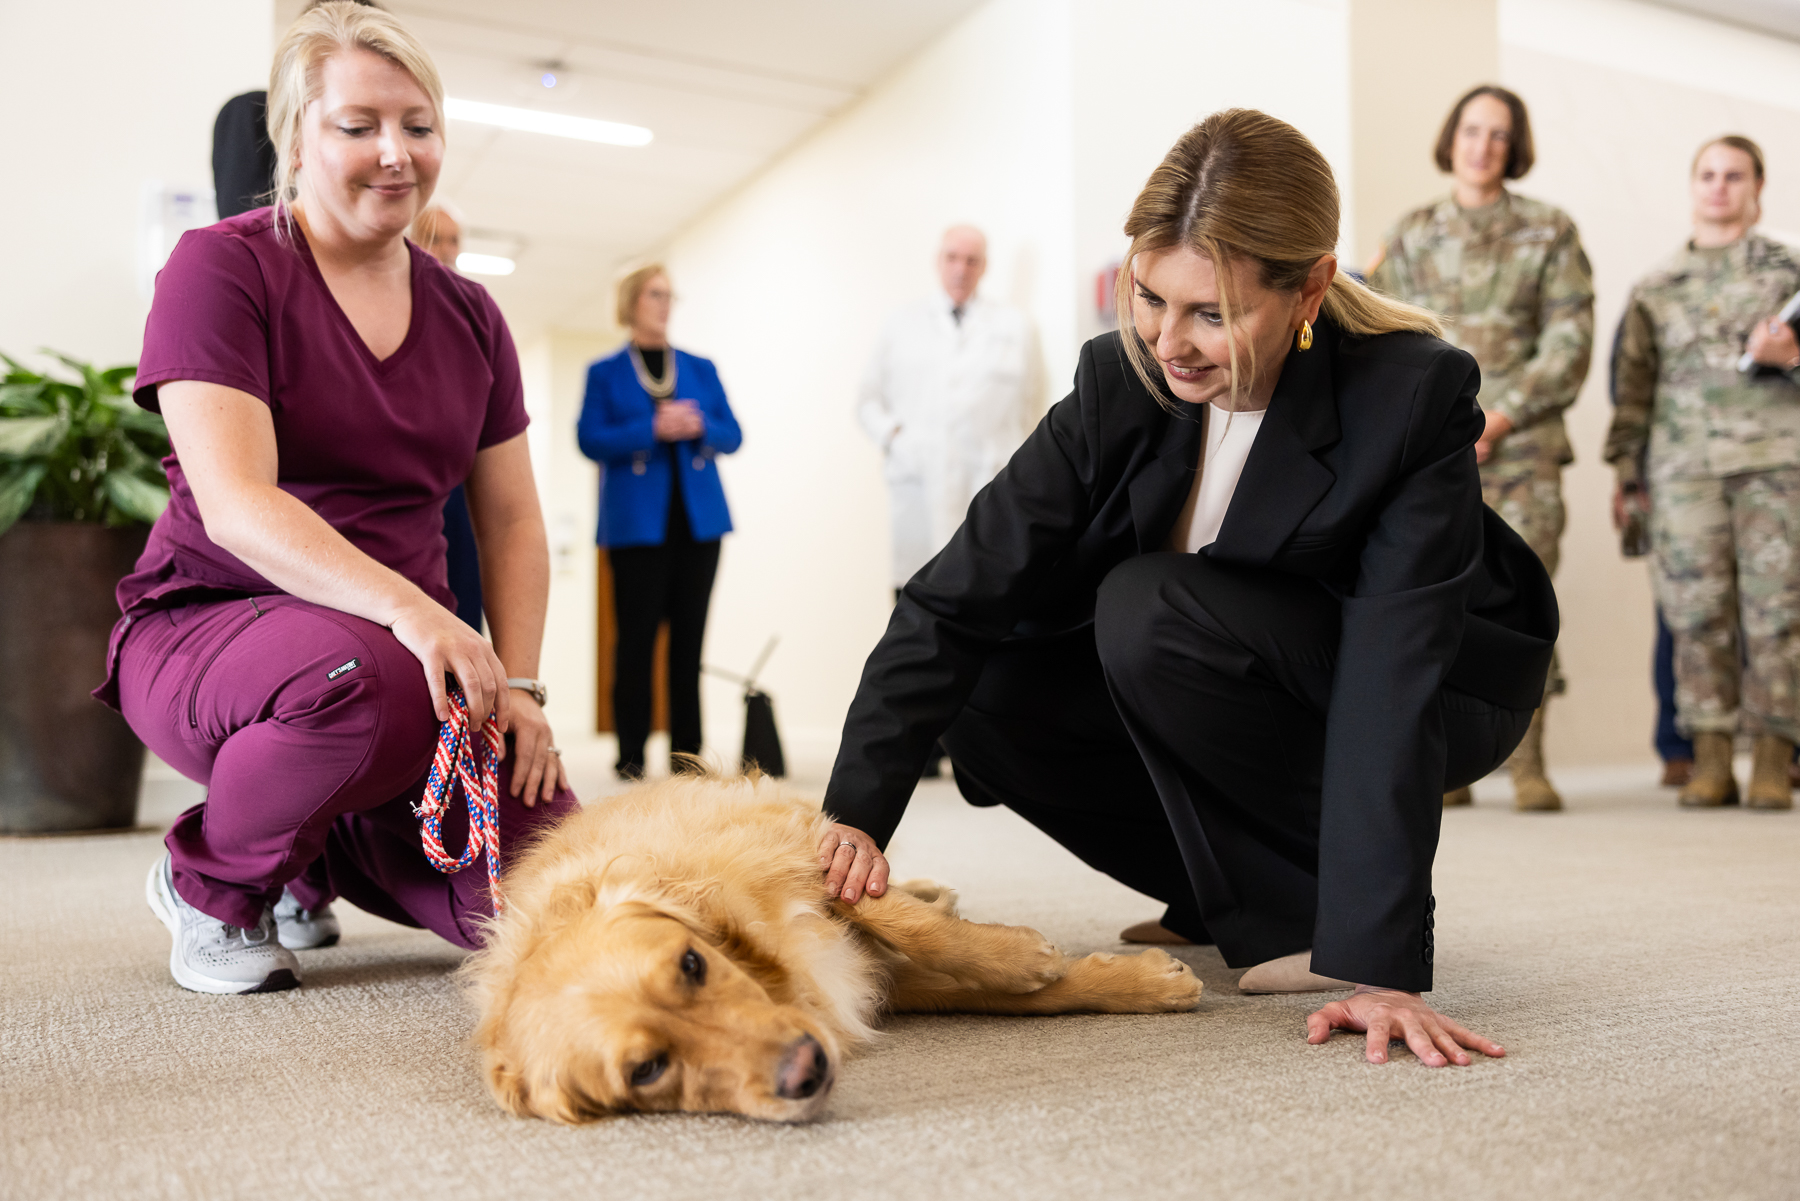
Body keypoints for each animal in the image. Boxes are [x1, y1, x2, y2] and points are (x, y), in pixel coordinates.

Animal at [464, 774, 1202, 1123]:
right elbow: (1012, 994)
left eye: (692, 963)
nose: (805, 1067)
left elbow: (908, 920)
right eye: (646, 1070)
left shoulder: (800, 851)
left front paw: (1030, 956)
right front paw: (1142, 982)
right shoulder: (871, 982)